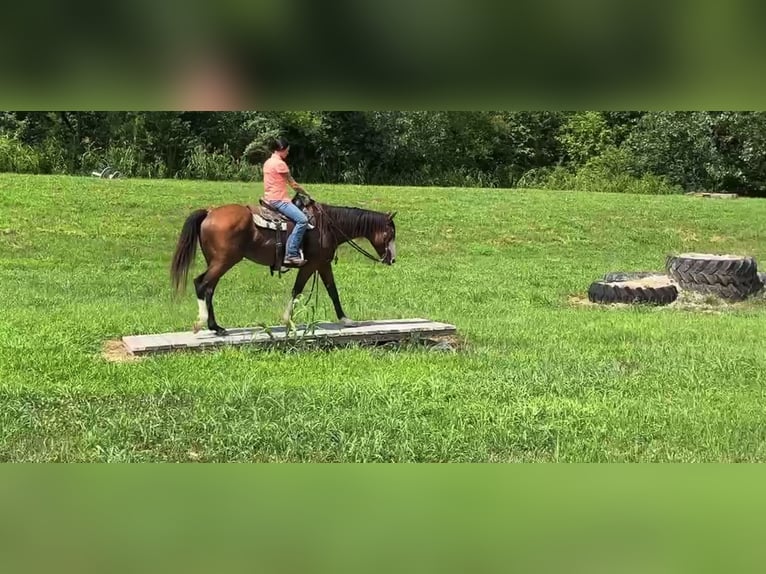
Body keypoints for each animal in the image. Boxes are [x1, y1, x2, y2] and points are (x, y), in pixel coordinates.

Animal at [169, 194, 397, 335]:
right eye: (390, 233)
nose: (392, 259)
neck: (328, 226)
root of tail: (209, 212)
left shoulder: (323, 265)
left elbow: (333, 291)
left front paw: (345, 319)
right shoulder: (310, 265)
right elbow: (297, 290)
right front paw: (287, 320)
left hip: (216, 261)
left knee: (209, 288)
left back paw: (216, 327)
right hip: (224, 261)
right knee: (201, 284)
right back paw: (202, 324)